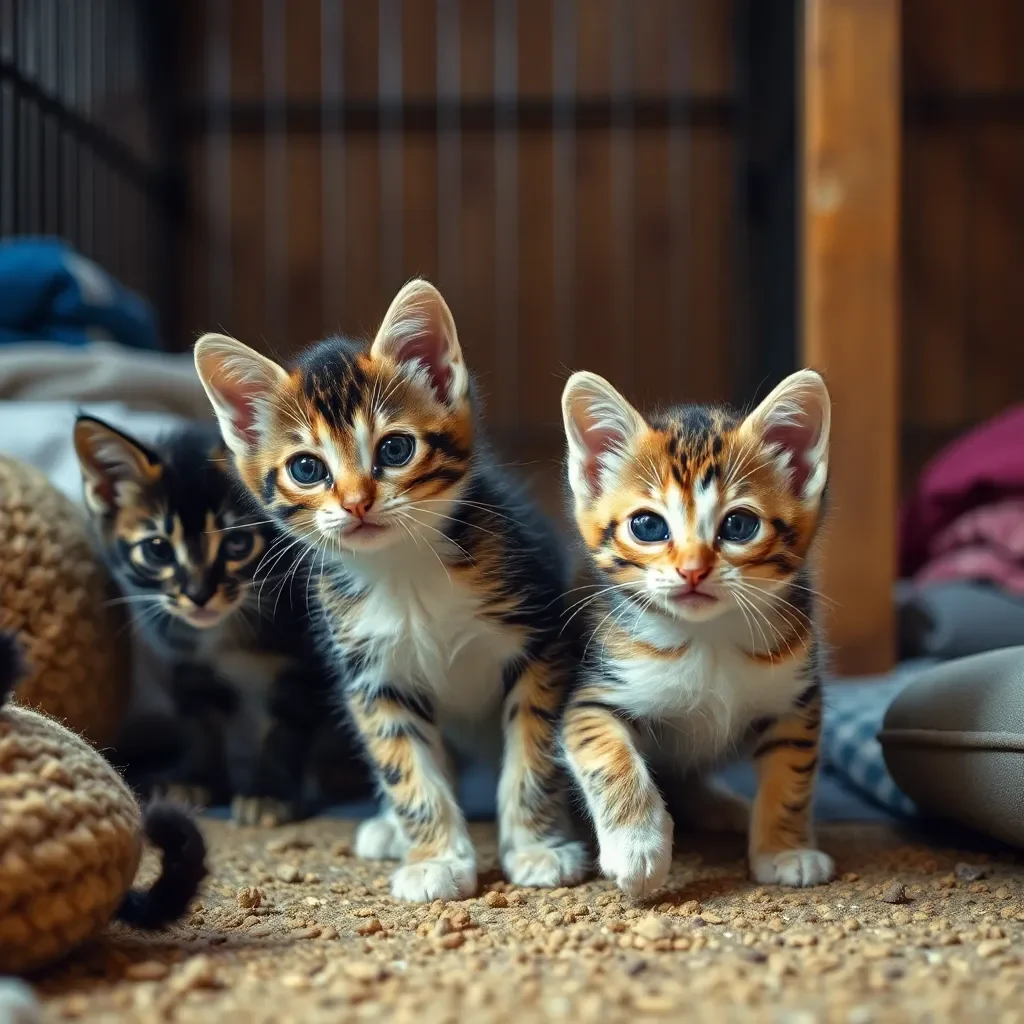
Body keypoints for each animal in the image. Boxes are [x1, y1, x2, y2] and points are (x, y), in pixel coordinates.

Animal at [73, 411, 360, 819]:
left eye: (238, 544)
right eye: (158, 550)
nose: (198, 595)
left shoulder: (311, 663)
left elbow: (287, 728)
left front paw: (270, 792)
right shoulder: (188, 663)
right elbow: (201, 722)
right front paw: (195, 779)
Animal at [557, 370, 835, 897]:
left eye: (739, 525)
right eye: (648, 525)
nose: (692, 570)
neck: (708, 639)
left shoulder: (795, 699)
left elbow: (791, 775)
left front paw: (783, 849)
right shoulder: (591, 696)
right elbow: (607, 756)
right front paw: (637, 847)